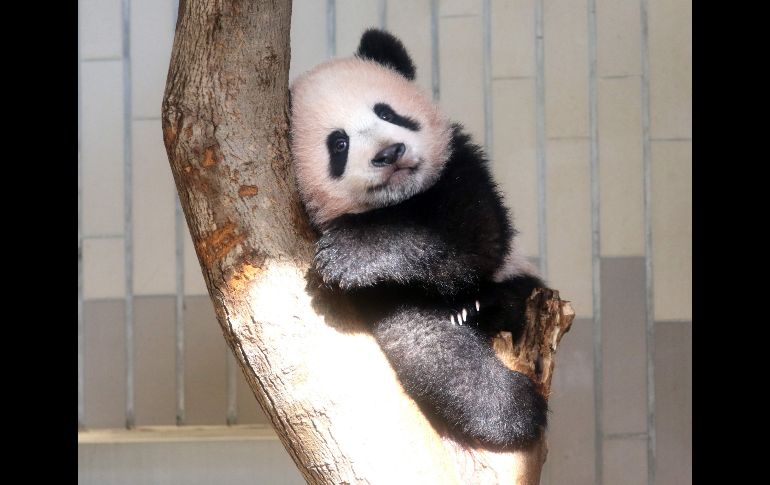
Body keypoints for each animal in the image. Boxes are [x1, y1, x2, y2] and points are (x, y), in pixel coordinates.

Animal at [290, 29, 547, 448]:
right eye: (339, 143)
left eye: (388, 113)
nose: (389, 152)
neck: (399, 201)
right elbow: (427, 345)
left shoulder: (461, 168)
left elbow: (472, 234)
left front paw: (349, 253)